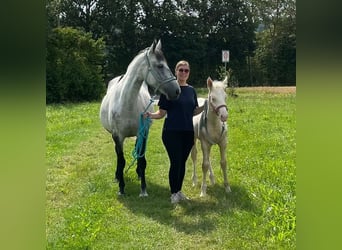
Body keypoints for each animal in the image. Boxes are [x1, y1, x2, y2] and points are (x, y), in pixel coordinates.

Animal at [99, 40, 180, 196]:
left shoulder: (142, 133)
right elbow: (121, 161)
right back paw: (117, 176)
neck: (127, 103)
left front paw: (143, 189)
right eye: (160, 66)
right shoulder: (118, 136)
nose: (177, 90)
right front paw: (121, 188)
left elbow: (142, 160)